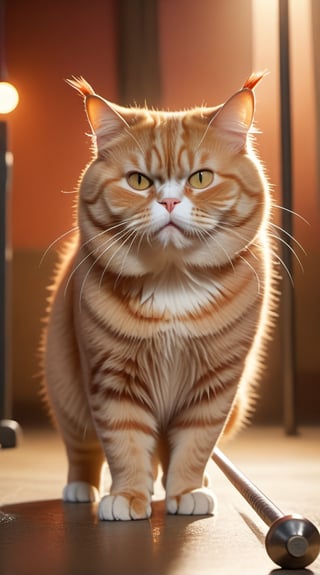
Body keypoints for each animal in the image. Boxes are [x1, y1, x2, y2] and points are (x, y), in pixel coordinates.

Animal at [43, 73, 276, 520]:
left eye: (200, 178)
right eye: (139, 181)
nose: (169, 201)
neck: (173, 283)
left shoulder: (215, 385)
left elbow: (194, 445)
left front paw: (185, 491)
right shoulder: (112, 380)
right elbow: (124, 445)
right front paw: (128, 496)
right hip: (66, 391)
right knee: (81, 448)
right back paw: (81, 487)